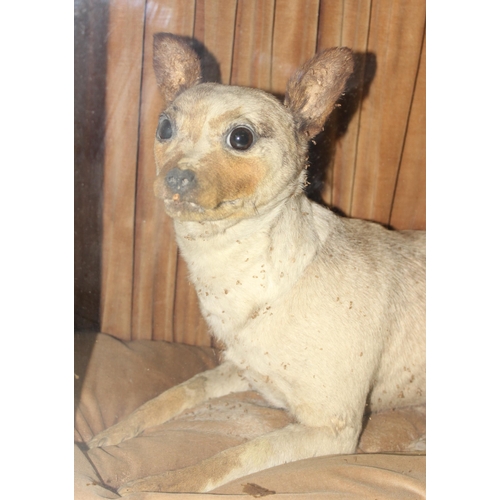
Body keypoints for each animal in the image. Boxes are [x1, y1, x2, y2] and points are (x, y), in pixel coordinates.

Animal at [88, 33, 424, 494]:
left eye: (241, 138)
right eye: (164, 128)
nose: (174, 178)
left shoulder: (332, 431)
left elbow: (229, 457)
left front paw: (155, 485)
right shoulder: (240, 371)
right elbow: (178, 391)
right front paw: (116, 430)